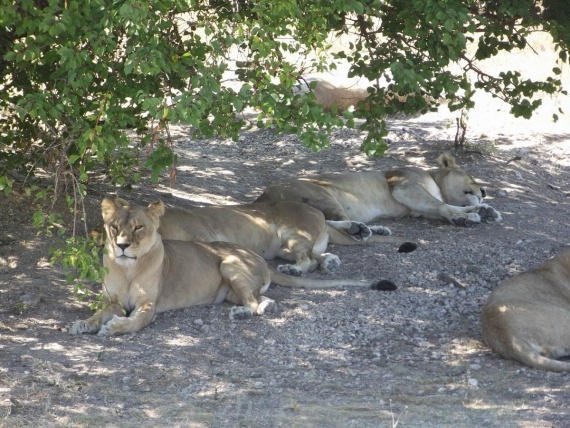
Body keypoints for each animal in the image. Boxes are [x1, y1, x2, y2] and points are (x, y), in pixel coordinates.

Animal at [255, 154, 500, 227]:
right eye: (471, 177)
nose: (484, 191)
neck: (435, 180)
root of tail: (261, 196)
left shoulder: (416, 210)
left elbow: (442, 206)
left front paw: (485, 211)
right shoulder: (404, 186)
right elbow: (442, 205)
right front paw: (464, 217)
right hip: (322, 195)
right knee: (329, 224)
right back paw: (364, 229)